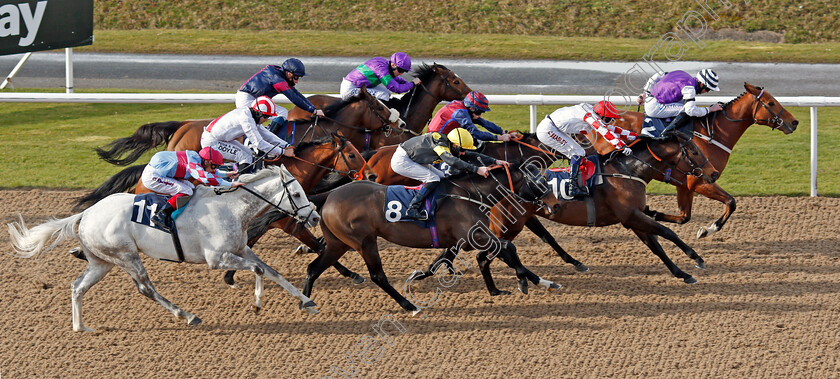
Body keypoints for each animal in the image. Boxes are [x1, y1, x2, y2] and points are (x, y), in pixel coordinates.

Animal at [8, 166, 320, 332]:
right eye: (295, 194)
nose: (315, 217)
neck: (231, 208)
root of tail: (85, 214)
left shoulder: (241, 249)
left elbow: (272, 271)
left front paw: (306, 301)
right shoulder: (217, 258)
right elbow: (258, 270)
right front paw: (257, 302)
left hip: (102, 262)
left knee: (77, 286)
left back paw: (80, 327)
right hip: (126, 256)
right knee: (146, 288)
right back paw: (187, 315)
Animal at [304, 163, 564, 314]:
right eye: (539, 182)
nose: (556, 205)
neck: (471, 193)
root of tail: (330, 195)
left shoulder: (467, 238)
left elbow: (501, 252)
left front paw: (507, 288)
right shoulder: (475, 236)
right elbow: (507, 248)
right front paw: (523, 282)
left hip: (338, 243)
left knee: (313, 268)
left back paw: (306, 302)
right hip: (364, 242)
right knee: (378, 276)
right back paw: (410, 306)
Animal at [584, 83, 796, 239]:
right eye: (771, 103)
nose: (794, 122)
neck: (713, 135)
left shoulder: (685, 184)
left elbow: (684, 217)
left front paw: (653, 213)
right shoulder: (701, 180)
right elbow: (731, 201)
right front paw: (708, 229)